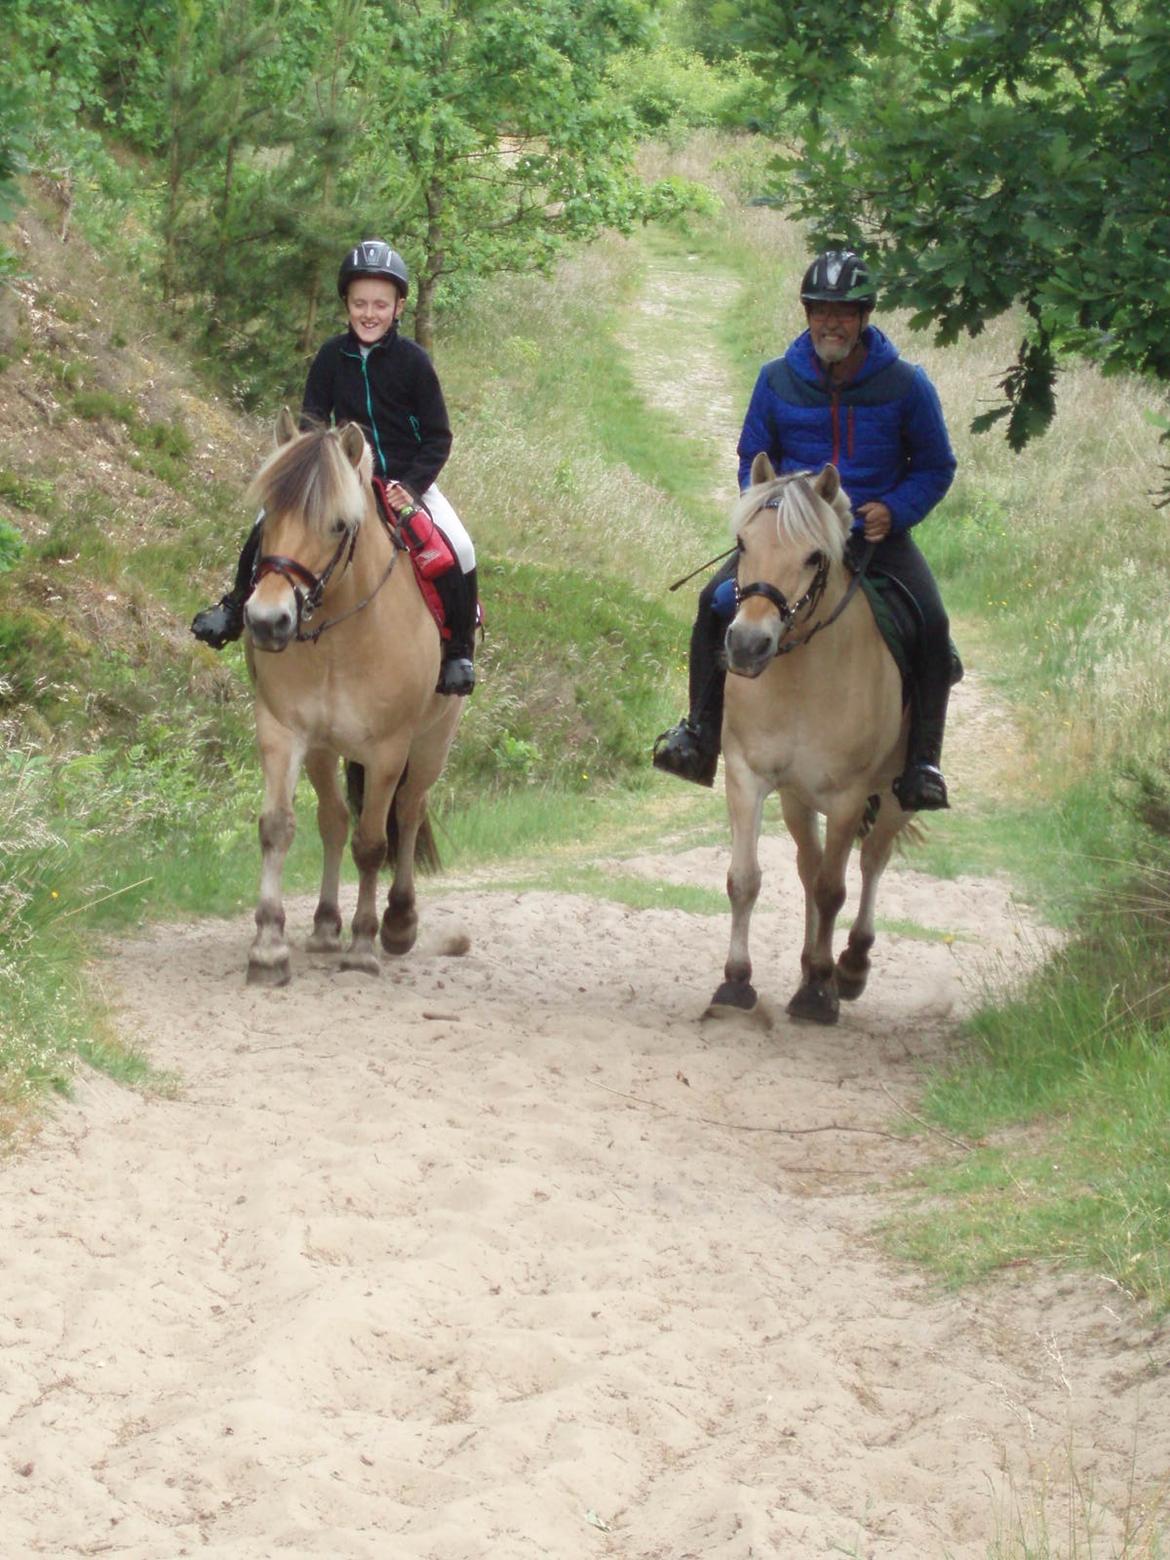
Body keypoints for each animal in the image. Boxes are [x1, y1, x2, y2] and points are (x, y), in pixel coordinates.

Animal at [711, 452, 923, 1023]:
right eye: (743, 544)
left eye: (812, 556)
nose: (748, 645)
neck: (800, 676)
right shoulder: (748, 776)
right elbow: (746, 878)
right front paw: (736, 980)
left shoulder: (849, 796)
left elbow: (834, 889)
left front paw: (819, 993)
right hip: (796, 798)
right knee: (809, 864)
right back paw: (811, 963)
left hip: (894, 795)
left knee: (872, 860)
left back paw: (848, 965)